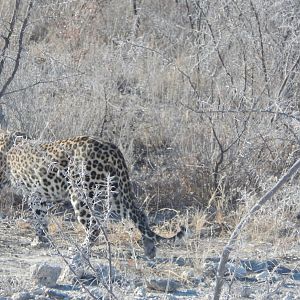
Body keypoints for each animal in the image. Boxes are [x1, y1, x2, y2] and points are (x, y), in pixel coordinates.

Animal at [0, 130, 185, 258]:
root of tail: (112, 148)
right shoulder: (37, 195)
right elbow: (40, 217)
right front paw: (40, 240)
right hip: (116, 191)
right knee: (139, 215)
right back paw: (149, 249)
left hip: (81, 193)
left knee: (95, 226)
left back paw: (80, 250)